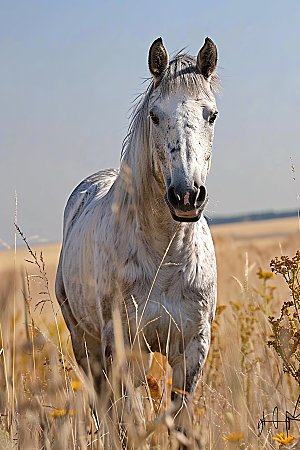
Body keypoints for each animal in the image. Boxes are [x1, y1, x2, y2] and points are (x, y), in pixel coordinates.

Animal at [56, 37, 219, 420]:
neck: (167, 257)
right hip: (84, 343)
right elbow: (130, 415)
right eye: (155, 115)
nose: (186, 196)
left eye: (211, 115)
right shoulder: (122, 349)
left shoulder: (192, 351)